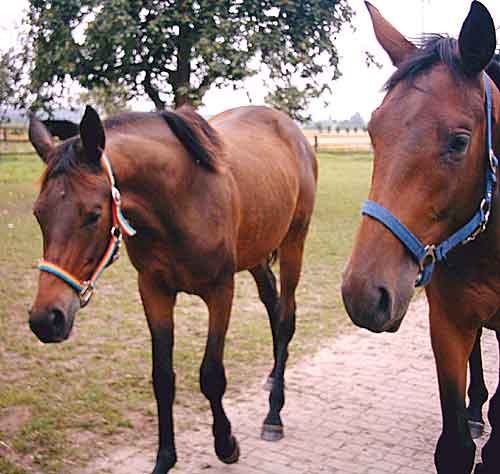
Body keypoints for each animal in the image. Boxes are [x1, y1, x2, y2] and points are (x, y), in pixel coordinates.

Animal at [26, 104, 316, 474]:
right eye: (38, 214)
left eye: (93, 215)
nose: (46, 319)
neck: (182, 197)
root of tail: (292, 131)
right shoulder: (154, 290)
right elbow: (162, 378)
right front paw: (164, 459)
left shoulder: (220, 291)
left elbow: (211, 375)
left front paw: (226, 445)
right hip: (256, 253)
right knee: (272, 303)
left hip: (294, 243)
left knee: (285, 317)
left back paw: (274, 414)